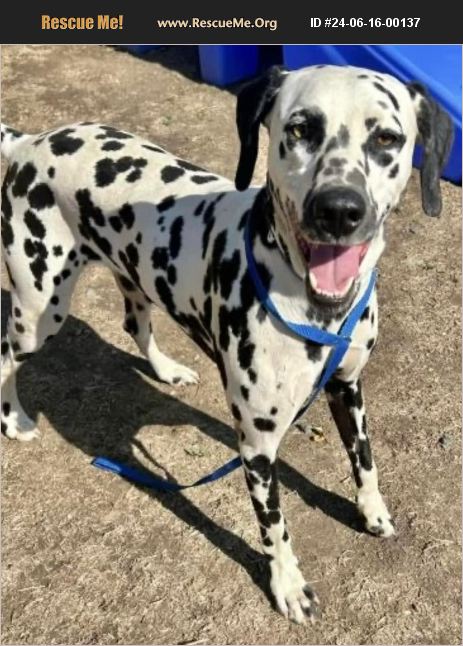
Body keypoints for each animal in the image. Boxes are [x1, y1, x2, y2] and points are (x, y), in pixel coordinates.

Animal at [1, 64, 454, 624]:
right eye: (300, 128)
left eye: (387, 138)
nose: (338, 210)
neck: (311, 303)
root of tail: (30, 143)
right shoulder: (257, 447)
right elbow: (275, 526)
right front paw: (288, 585)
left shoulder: (347, 386)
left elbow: (364, 459)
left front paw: (373, 511)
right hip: (39, 310)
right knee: (5, 355)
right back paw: (14, 420)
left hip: (134, 278)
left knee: (135, 325)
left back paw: (168, 370)